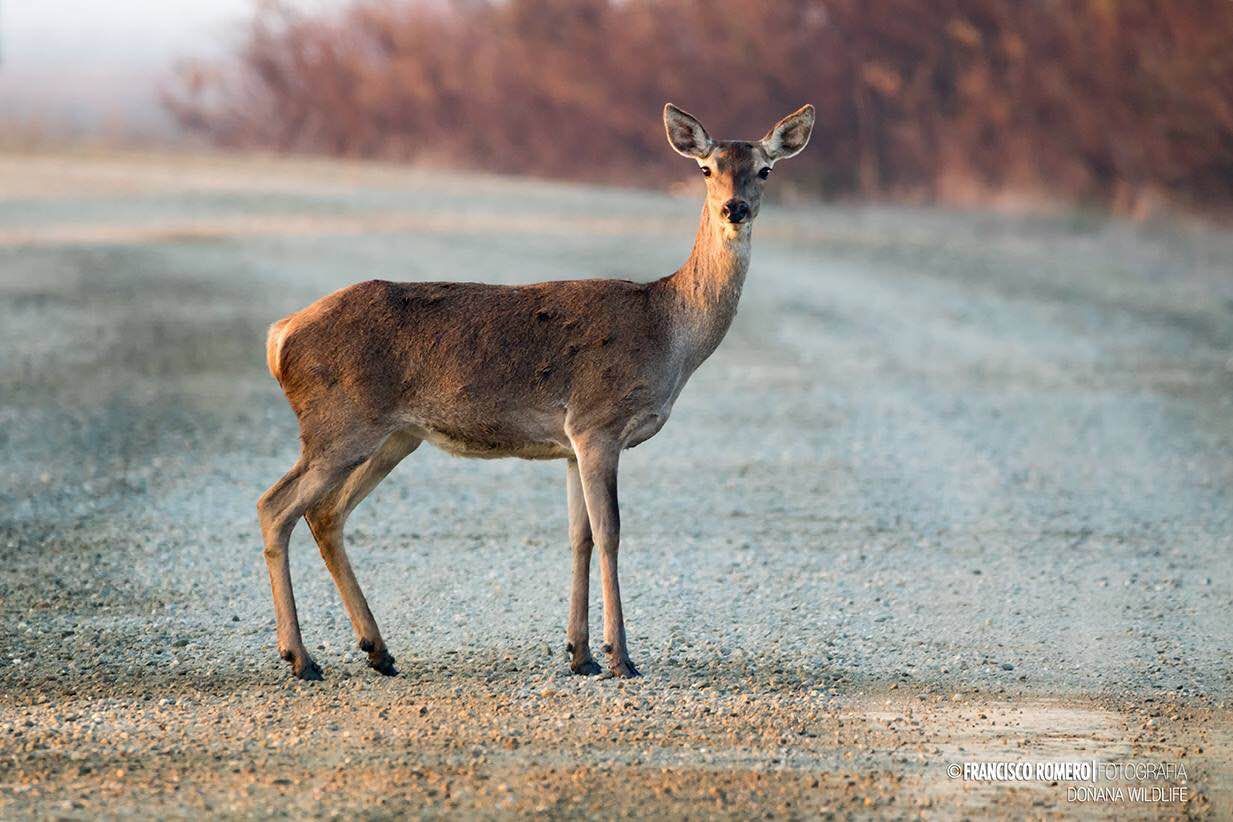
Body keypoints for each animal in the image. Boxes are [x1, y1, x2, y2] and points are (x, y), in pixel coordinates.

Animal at [255, 104, 813, 680]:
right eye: (706, 168)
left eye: (765, 170)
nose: (734, 208)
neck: (668, 332)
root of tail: (280, 335)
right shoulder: (597, 422)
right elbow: (611, 532)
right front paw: (621, 657)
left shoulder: (569, 445)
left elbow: (579, 536)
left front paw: (580, 654)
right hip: (339, 423)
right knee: (275, 506)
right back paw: (301, 657)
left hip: (393, 436)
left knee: (326, 514)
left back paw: (377, 650)